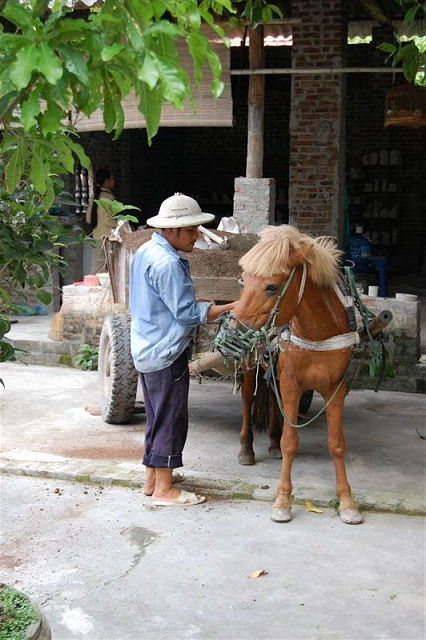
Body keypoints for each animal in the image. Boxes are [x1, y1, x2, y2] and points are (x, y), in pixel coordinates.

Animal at [216, 226, 362, 524]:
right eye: (243, 280)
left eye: (272, 287)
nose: (231, 334)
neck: (318, 332)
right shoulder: (292, 383)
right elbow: (291, 442)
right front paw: (282, 501)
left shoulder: (335, 388)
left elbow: (336, 443)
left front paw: (347, 502)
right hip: (252, 366)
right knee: (248, 401)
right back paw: (246, 449)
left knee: (274, 400)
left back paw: (271, 442)